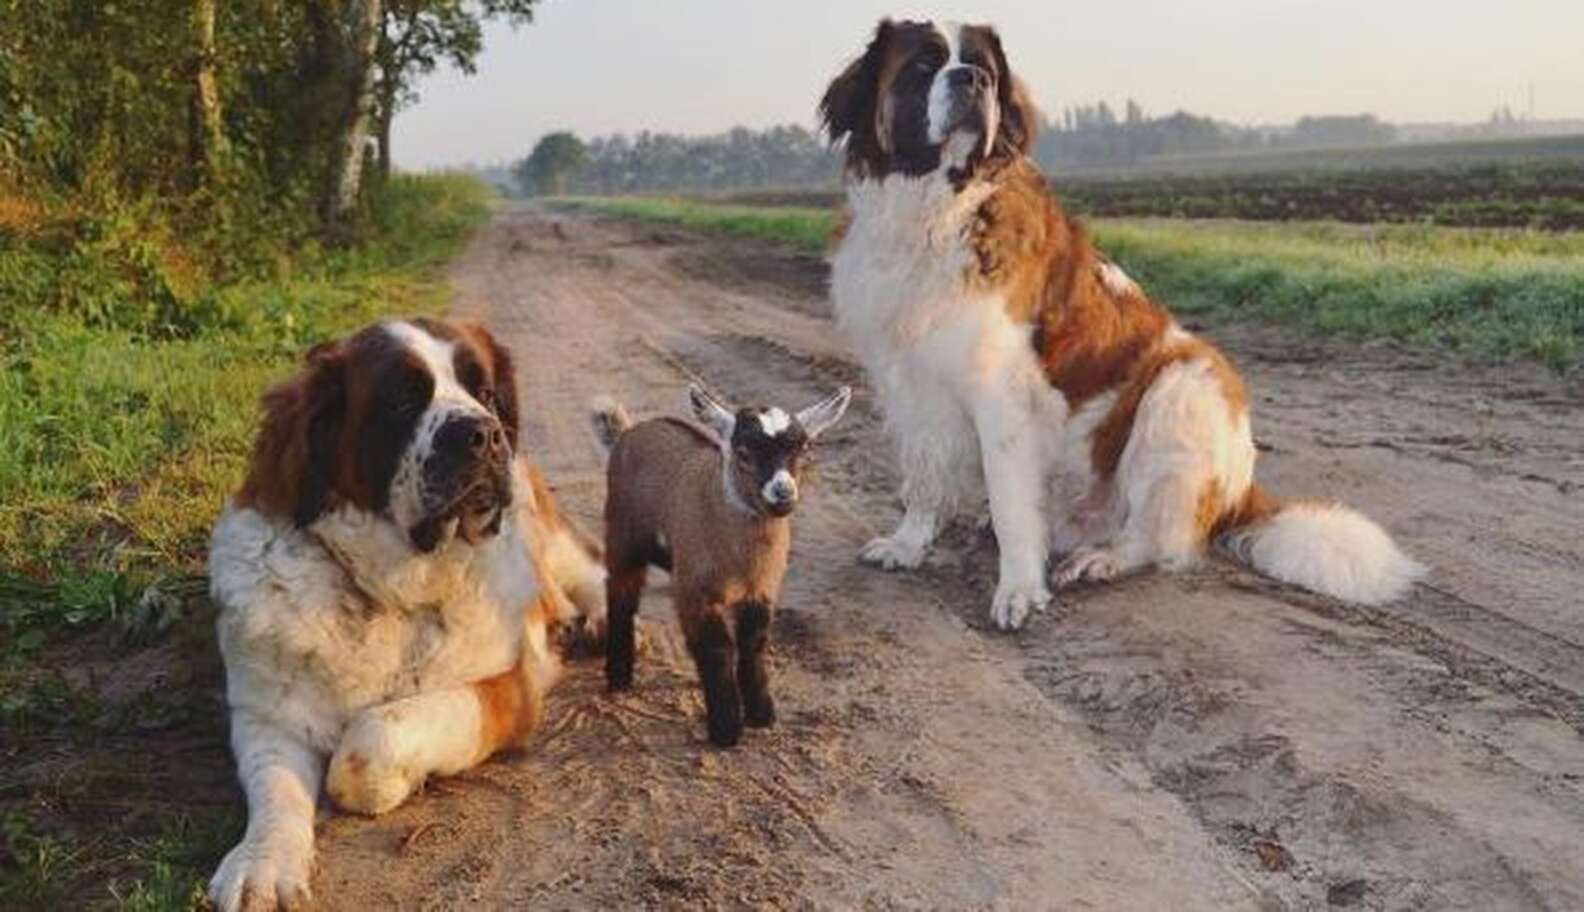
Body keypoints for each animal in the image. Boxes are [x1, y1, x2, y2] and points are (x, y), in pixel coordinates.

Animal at [589, 381, 849, 744]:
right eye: (743, 452)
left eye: (804, 448)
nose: (783, 493)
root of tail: (629, 431)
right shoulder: (693, 591)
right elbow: (716, 649)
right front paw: (726, 729)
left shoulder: (761, 590)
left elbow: (753, 645)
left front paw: (761, 714)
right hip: (622, 534)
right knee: (621, 596)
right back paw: (618, 678)